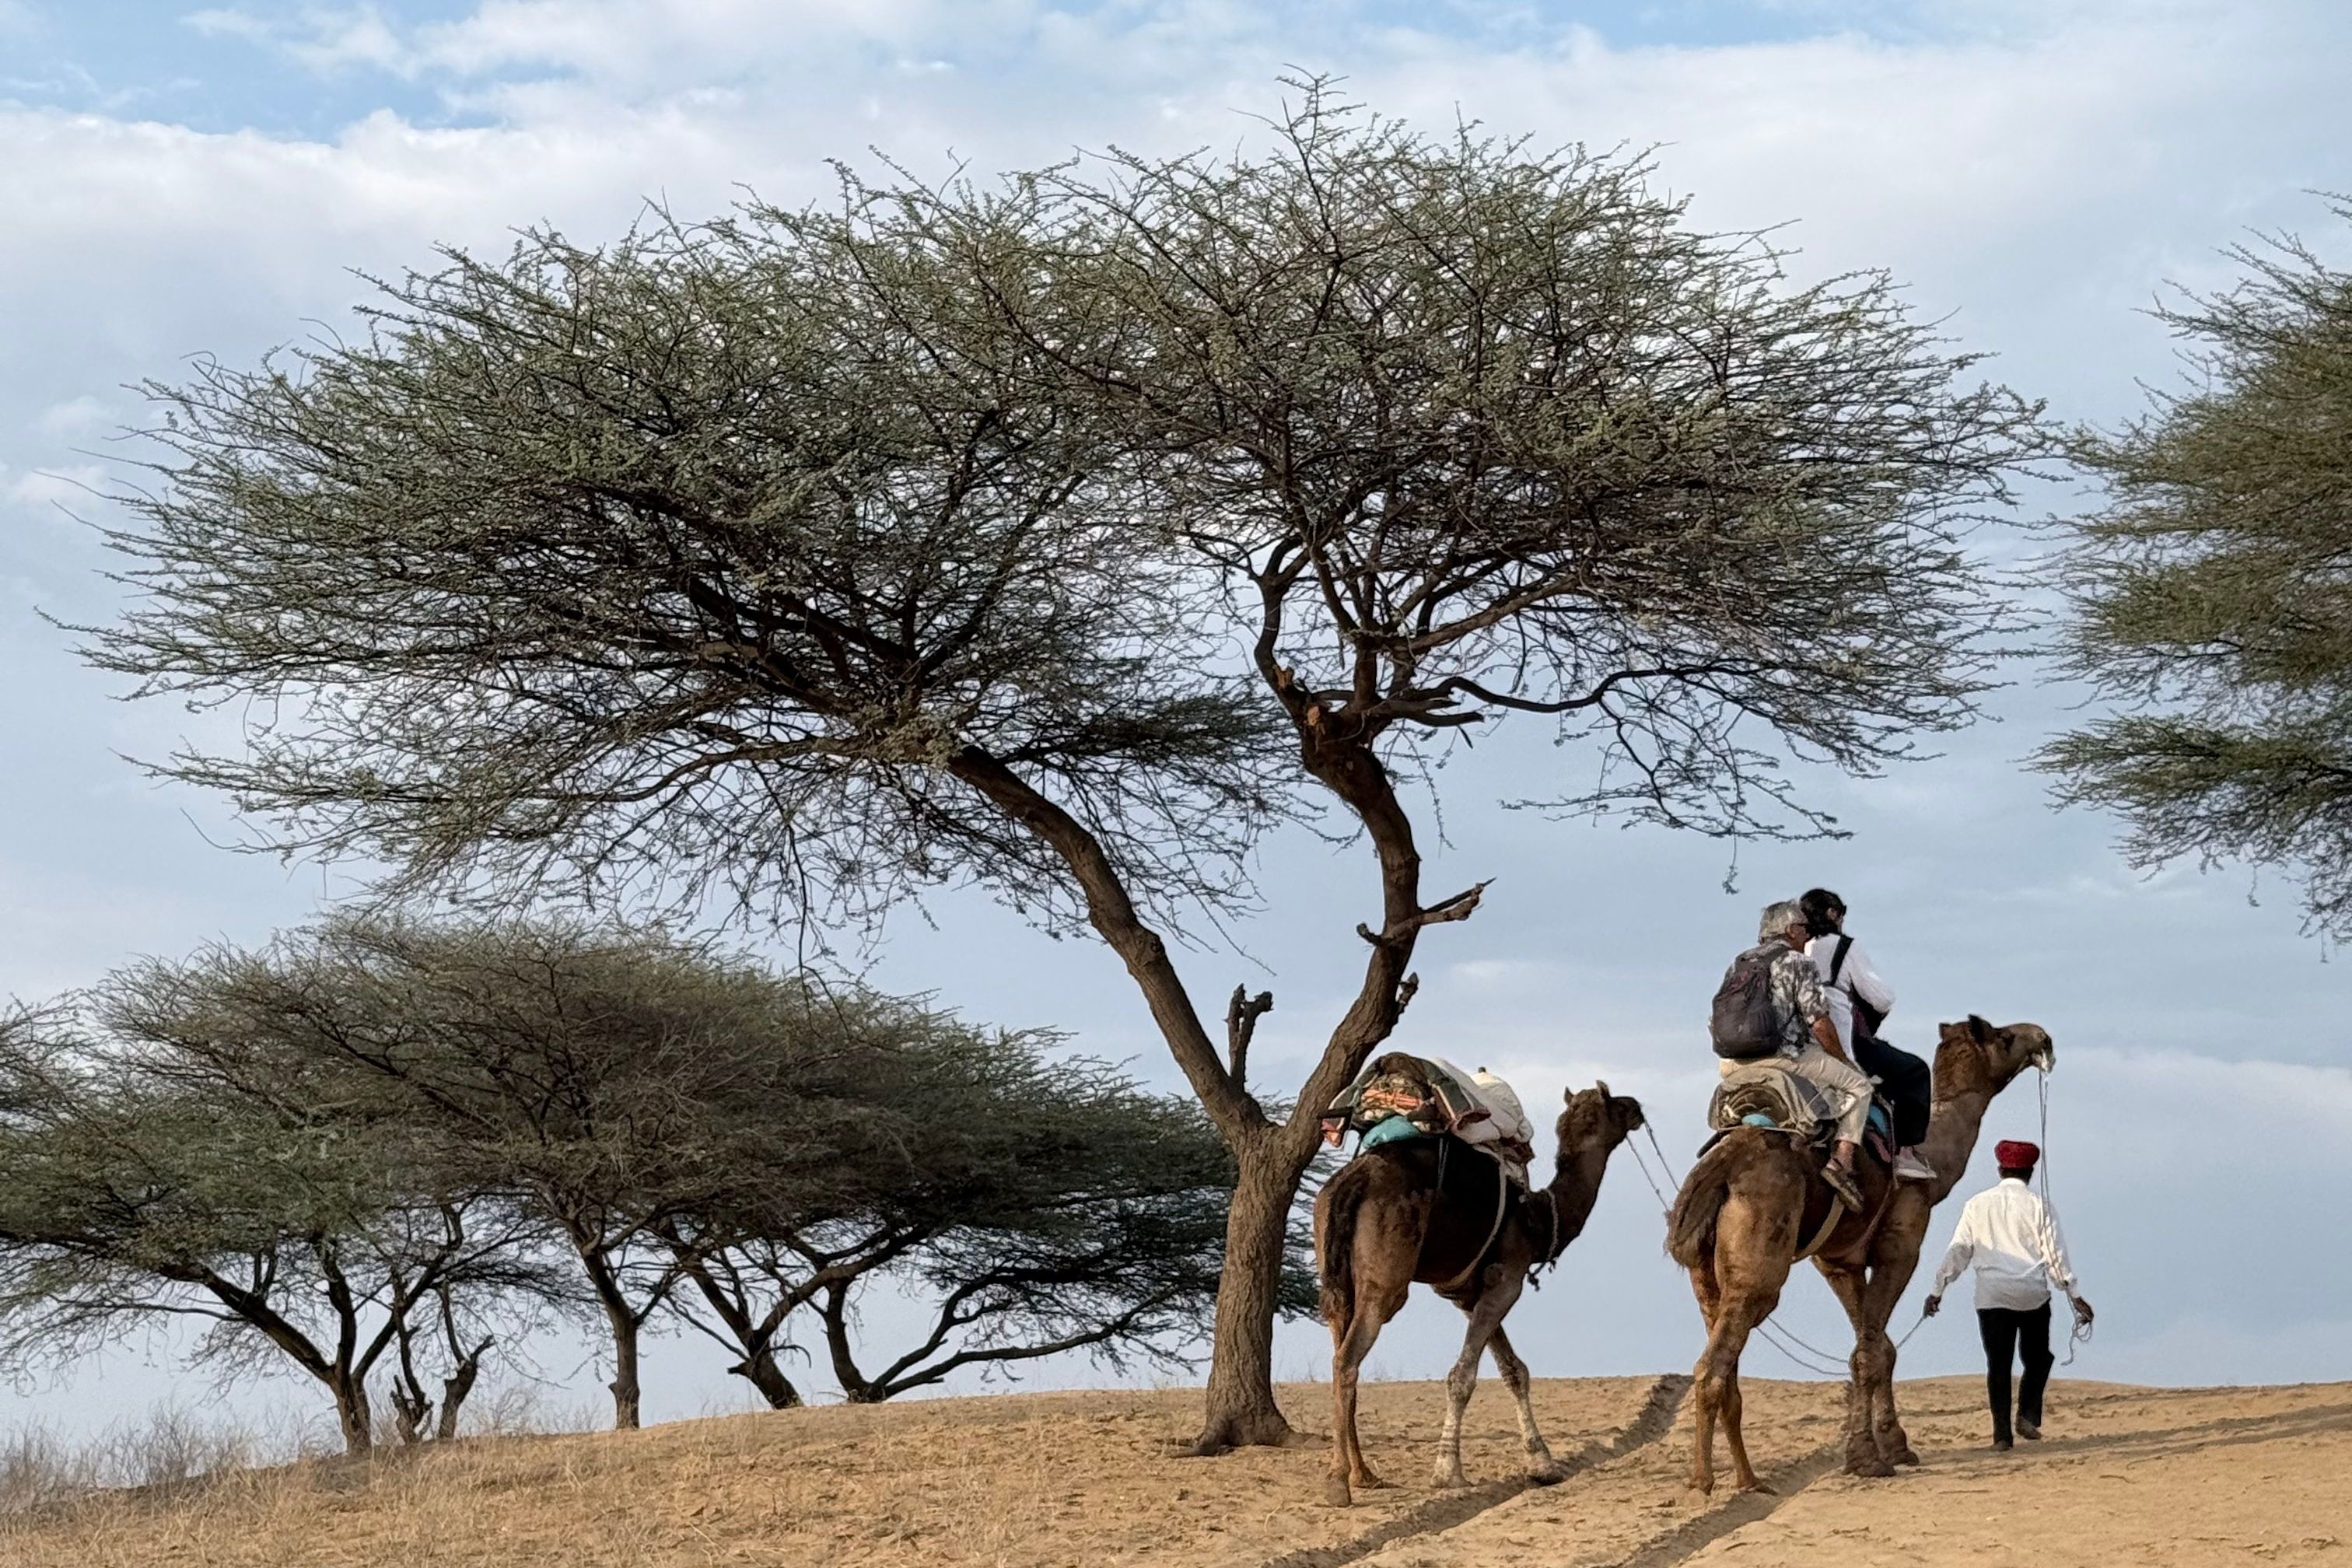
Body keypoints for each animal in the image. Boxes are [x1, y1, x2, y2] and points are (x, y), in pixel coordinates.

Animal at [1314, 1077, 1646, 1507]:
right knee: (1348, 1359)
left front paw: (1542, 1464)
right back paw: (1339, 1482)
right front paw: (1448, 1472)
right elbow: (1463, 1375)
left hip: (1335, 1277)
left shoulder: (1469, 1295)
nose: (1636, 1106)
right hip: (1385, 1282)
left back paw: (1364, 1474)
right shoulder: (1508, 1280)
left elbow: (1514, 1370)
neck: (1541, 1220)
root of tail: (1352, 1182)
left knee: (1339, 1346)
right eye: (1613, 1105)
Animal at [1666, 1014, 2054, 1495]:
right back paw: (1703, 1481)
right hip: (1761, 1255)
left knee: (1723, 1355)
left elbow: (1878, 1346)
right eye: (2003, 1036)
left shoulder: (1839, 1262)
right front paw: (1867, 1458)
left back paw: (1749, 1479)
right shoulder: (1901, 1245)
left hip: (1704, 1268)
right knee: (1717, 1361)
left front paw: (1896, 1446)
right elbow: (1868, 1354)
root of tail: (1723, 1164)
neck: (1932, 1161)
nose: (2042, 1037)